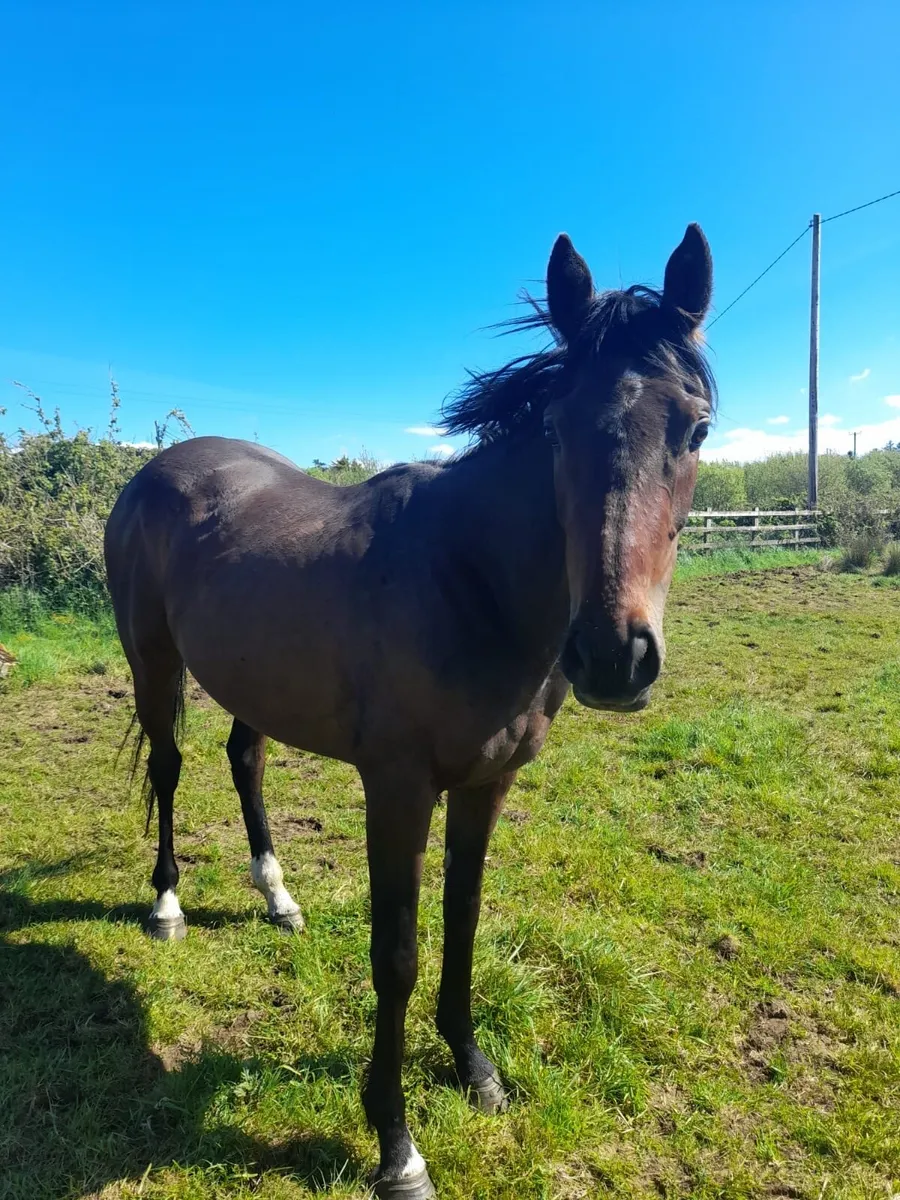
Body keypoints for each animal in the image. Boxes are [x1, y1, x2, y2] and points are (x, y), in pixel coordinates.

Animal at [104, 224, 715, 1199]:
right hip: (154, 663)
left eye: (694, 427)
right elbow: (395, 954)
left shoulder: (485, 783)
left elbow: (462, 921)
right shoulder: (396, 790)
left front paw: (475, 1070)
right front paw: (396, 1145)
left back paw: (278, 895)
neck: (470, 576)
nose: (614, 657)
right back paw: (167, 906)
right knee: (169, 767)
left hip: (251, 677)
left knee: (245, 759)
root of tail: (154, 472)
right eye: (555, 427)